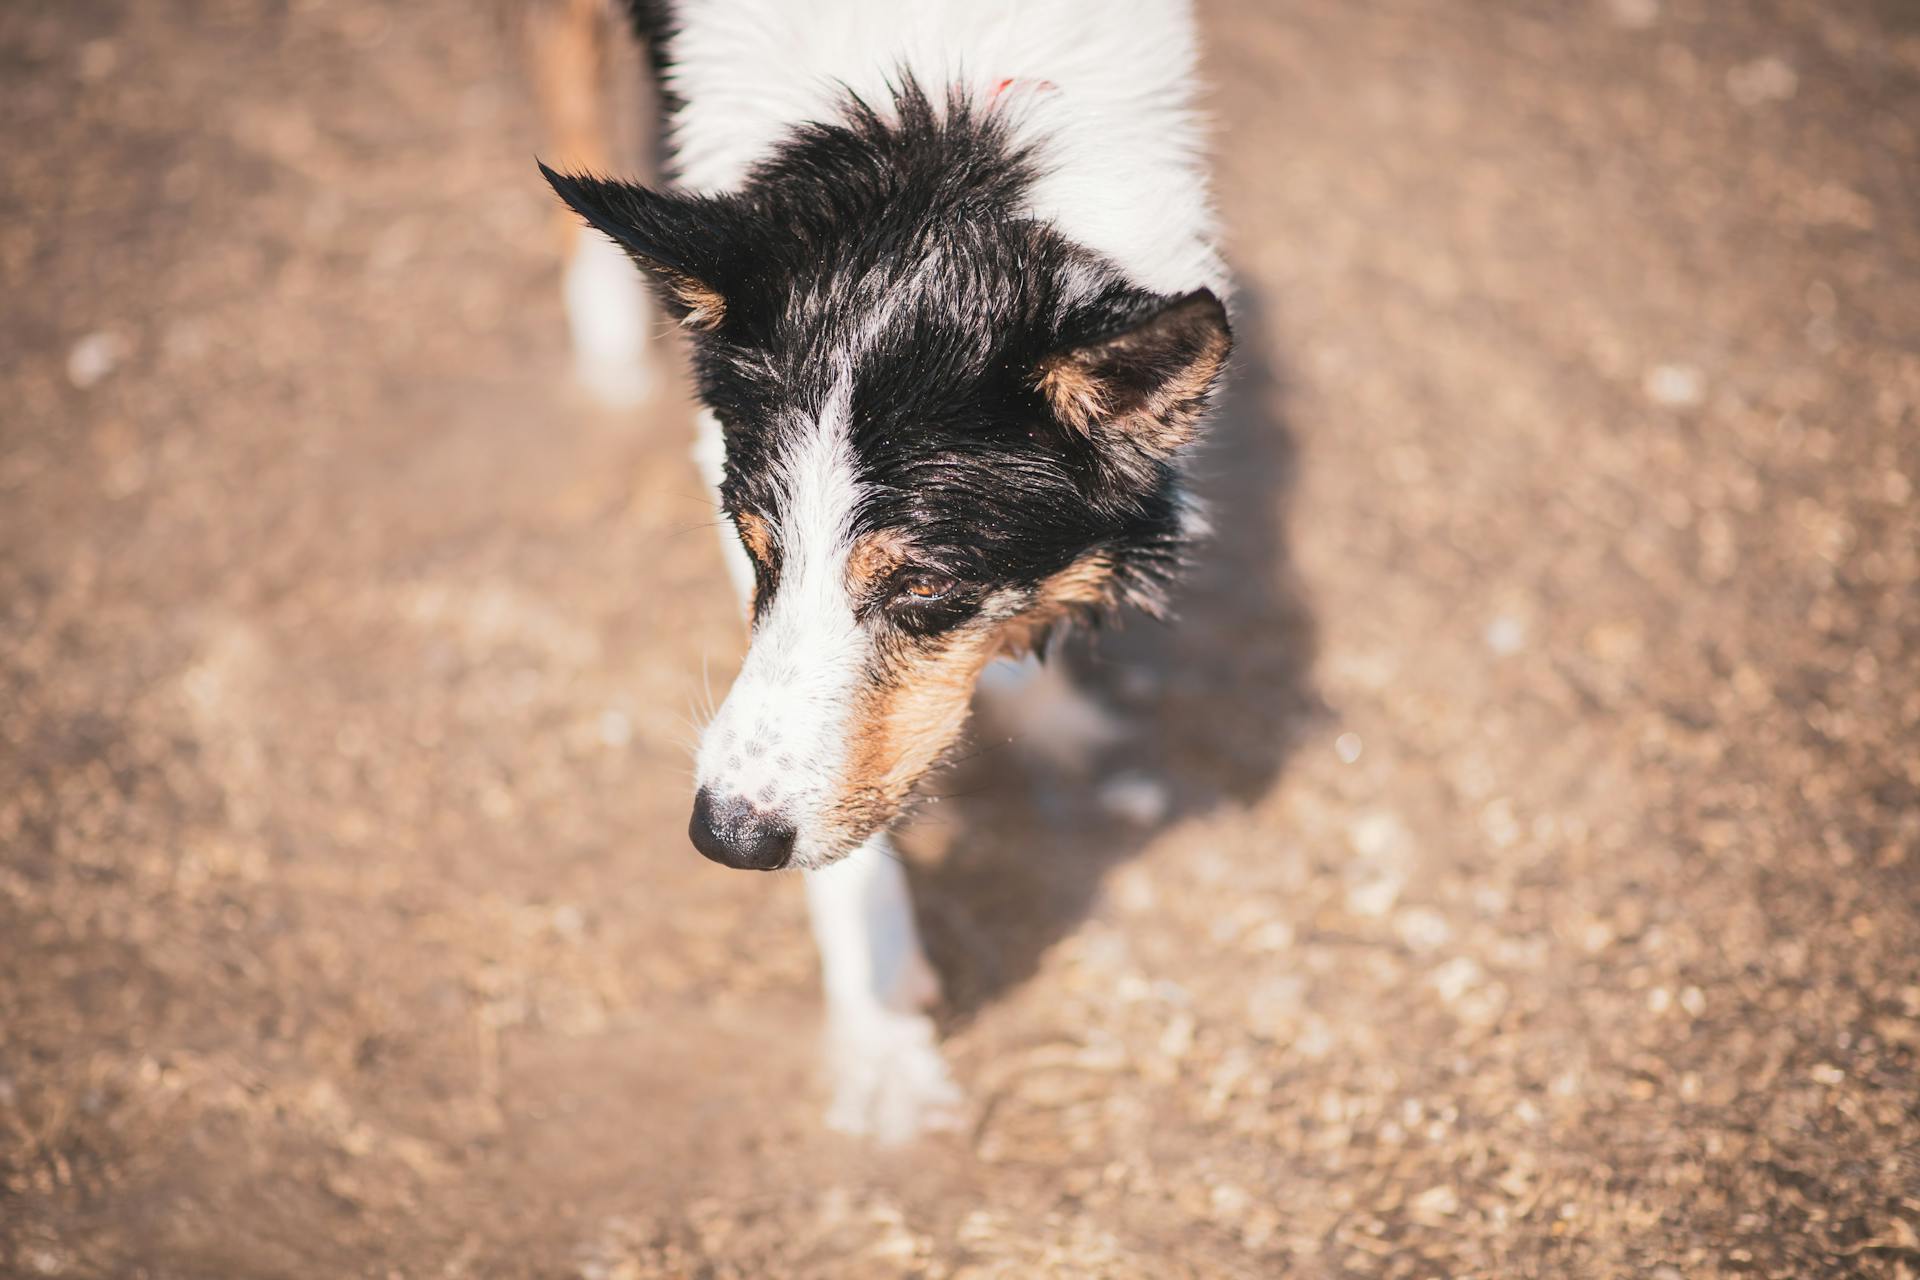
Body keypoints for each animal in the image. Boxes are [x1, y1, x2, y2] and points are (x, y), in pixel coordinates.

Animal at [533, 0, 1236, 1143]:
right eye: (755, 544)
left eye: (923, 587)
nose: (723, 839)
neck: (943, 108)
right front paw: (882, 1047)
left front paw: (1049, 713)